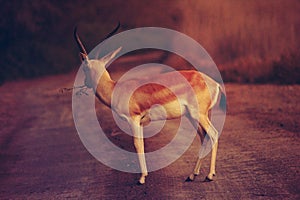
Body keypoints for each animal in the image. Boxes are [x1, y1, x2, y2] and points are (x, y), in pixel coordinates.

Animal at [74, 23, 225, 184]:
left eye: (84, 67)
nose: (85, 82)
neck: (116, 89)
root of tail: (213, 83)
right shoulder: (140, 122)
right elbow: (141, 144)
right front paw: (144, 175)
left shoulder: (133, 119)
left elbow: (137, 145)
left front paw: (141, 178)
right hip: (193, 116)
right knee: (204, 137)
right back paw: (192, 175)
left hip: (198, 115)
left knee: (214, 134)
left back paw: (210, 175)